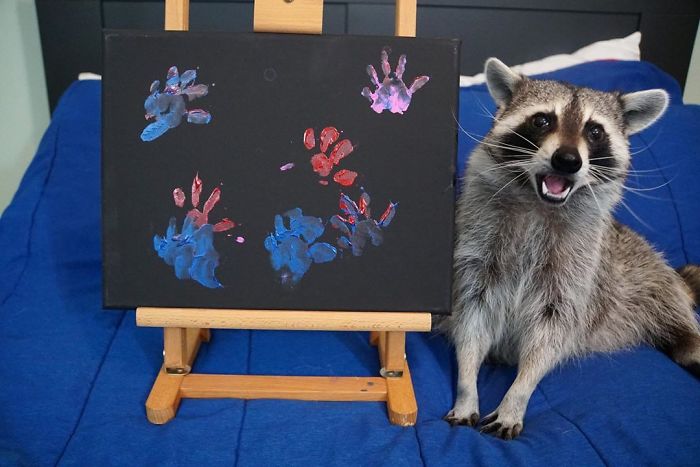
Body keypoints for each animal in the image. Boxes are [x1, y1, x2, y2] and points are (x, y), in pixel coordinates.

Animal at [439, 58, 700, 439]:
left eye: (595, 131)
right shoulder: (475, 253)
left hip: (646, 273)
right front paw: (466, 385)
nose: (567, 160)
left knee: (678, 316)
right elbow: (472, 322)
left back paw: (691, 344)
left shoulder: (578, 276)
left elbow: (552, 334)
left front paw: (518, 393)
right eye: (542, 120)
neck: (539, 203)